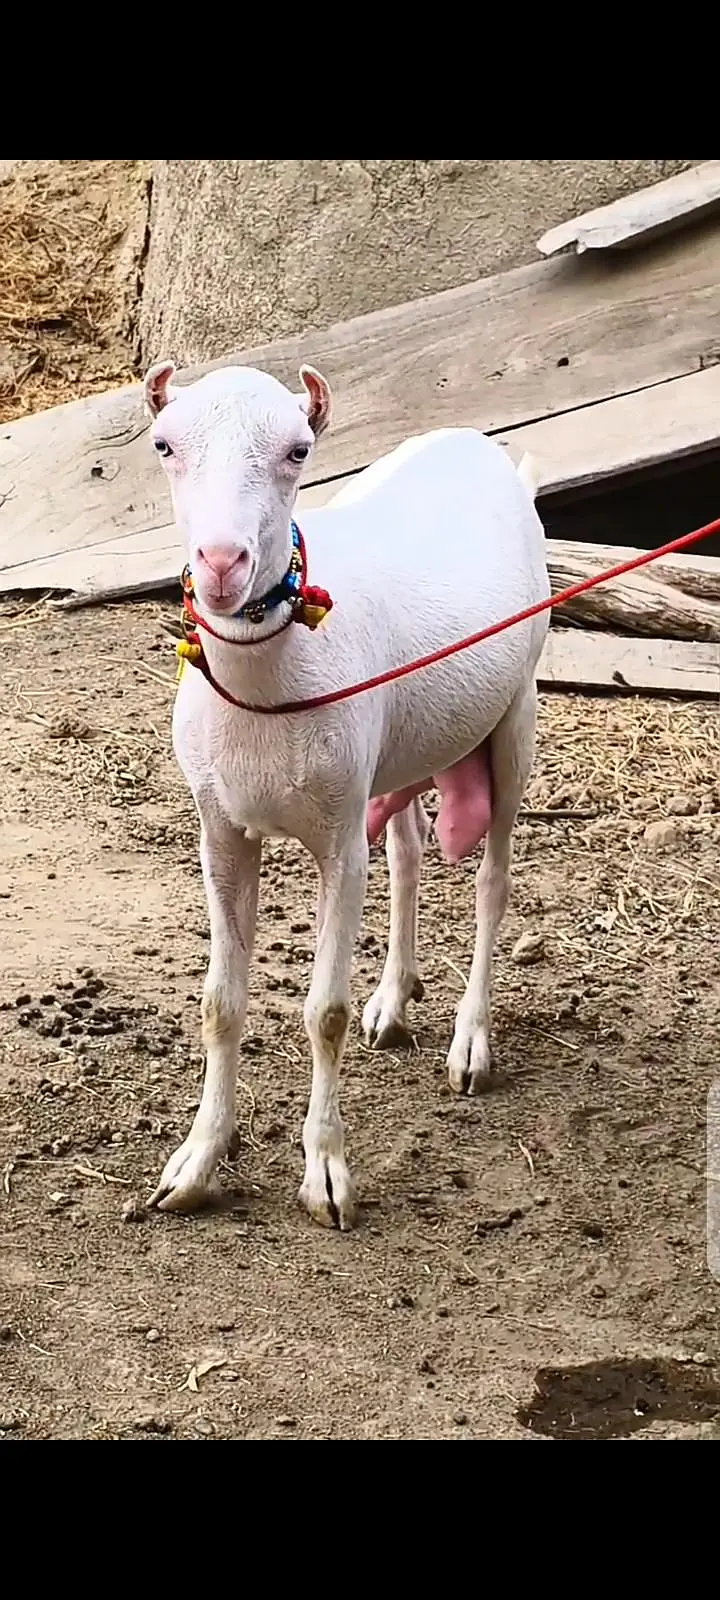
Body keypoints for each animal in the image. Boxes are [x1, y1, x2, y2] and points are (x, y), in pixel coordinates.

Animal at [144, 360, 550, 1228]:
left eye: (299, 449)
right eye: (164, 444)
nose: (221, 562)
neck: (266, 686)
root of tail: (481, 446)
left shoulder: (336, 837)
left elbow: (322, 1011)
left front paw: (326, 1171)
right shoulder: (220, 828)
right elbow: (219, 1003)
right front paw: (195, 1163)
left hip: (518, 711)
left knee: (493, 880)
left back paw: (471, 1041)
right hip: (397, 746)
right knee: (408, 852)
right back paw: (394, 999)